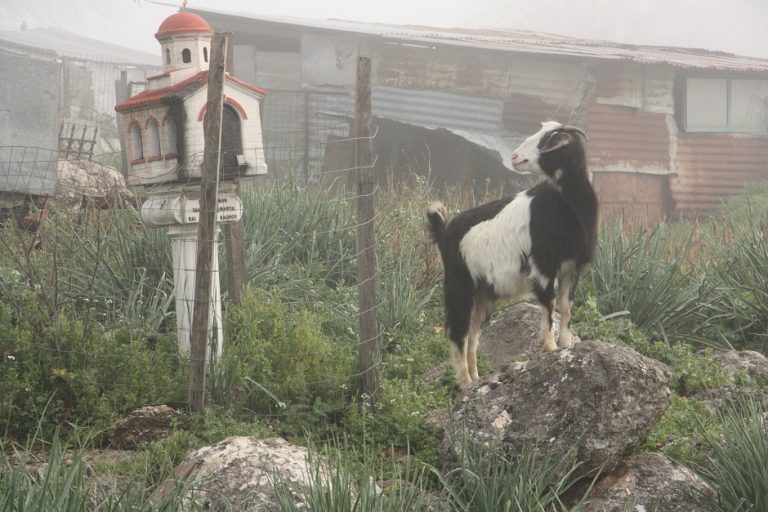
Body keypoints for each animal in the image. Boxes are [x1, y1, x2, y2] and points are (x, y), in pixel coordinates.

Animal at [426, 122, 600, 388]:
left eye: (546, 141)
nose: (515, 157)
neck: (565, 203)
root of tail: (444, 231)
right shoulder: (542, 265)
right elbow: (549, 304)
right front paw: (550, 347)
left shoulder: (572, 266)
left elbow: (566, 306)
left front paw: (565, 345)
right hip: (459, 285)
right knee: (458, 333)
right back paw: (465, 384)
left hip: (482, 294)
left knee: (473, 334)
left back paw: (476, 380)